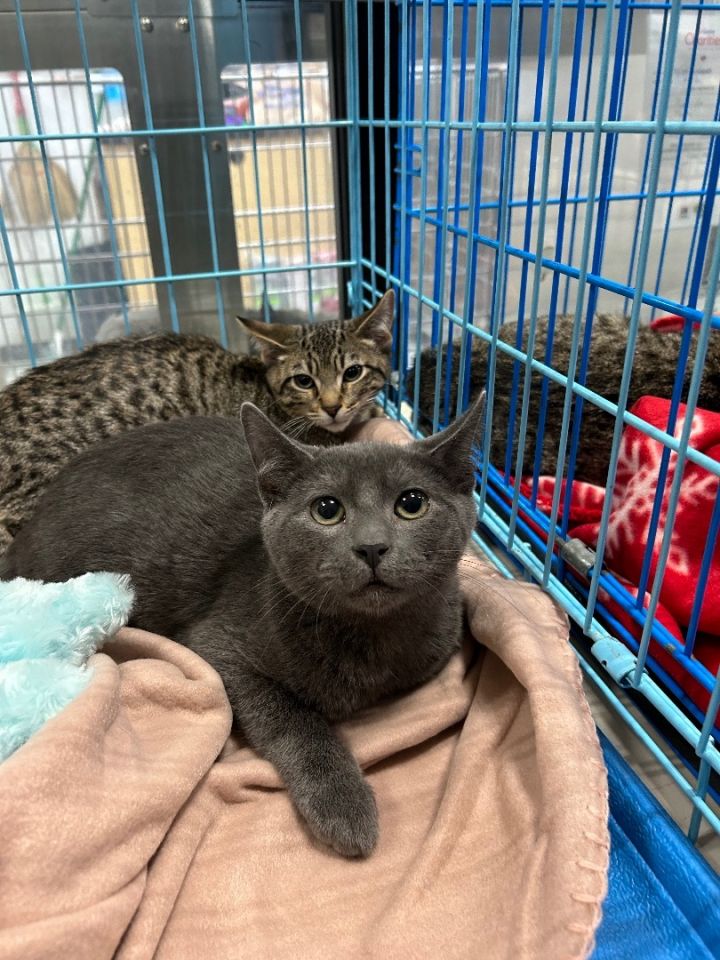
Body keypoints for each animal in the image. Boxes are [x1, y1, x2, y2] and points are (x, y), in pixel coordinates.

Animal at [2, 394, 484, 860]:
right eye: (327, 509)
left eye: (412, 503)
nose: (371, 546)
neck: (372, 638)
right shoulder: (216, 646)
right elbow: (292, 718)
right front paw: (345, 808)